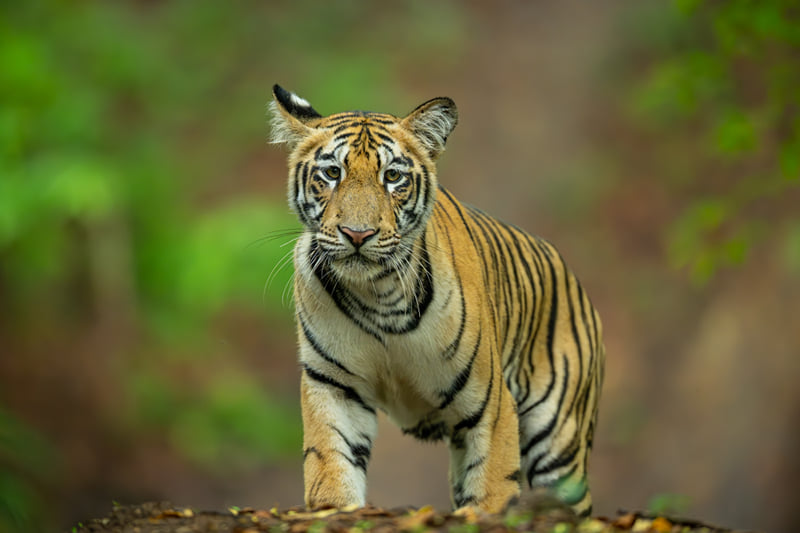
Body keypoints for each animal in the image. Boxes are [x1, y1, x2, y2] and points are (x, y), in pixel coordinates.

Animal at [268, 84, 605, 516]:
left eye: (392, 176)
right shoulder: (333, 383)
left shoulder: (490, 403)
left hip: (559, 440)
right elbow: (331, 464)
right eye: (332, 173)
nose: (357, 234)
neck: (376, 293)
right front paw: (335, 507)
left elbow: (493, 488)